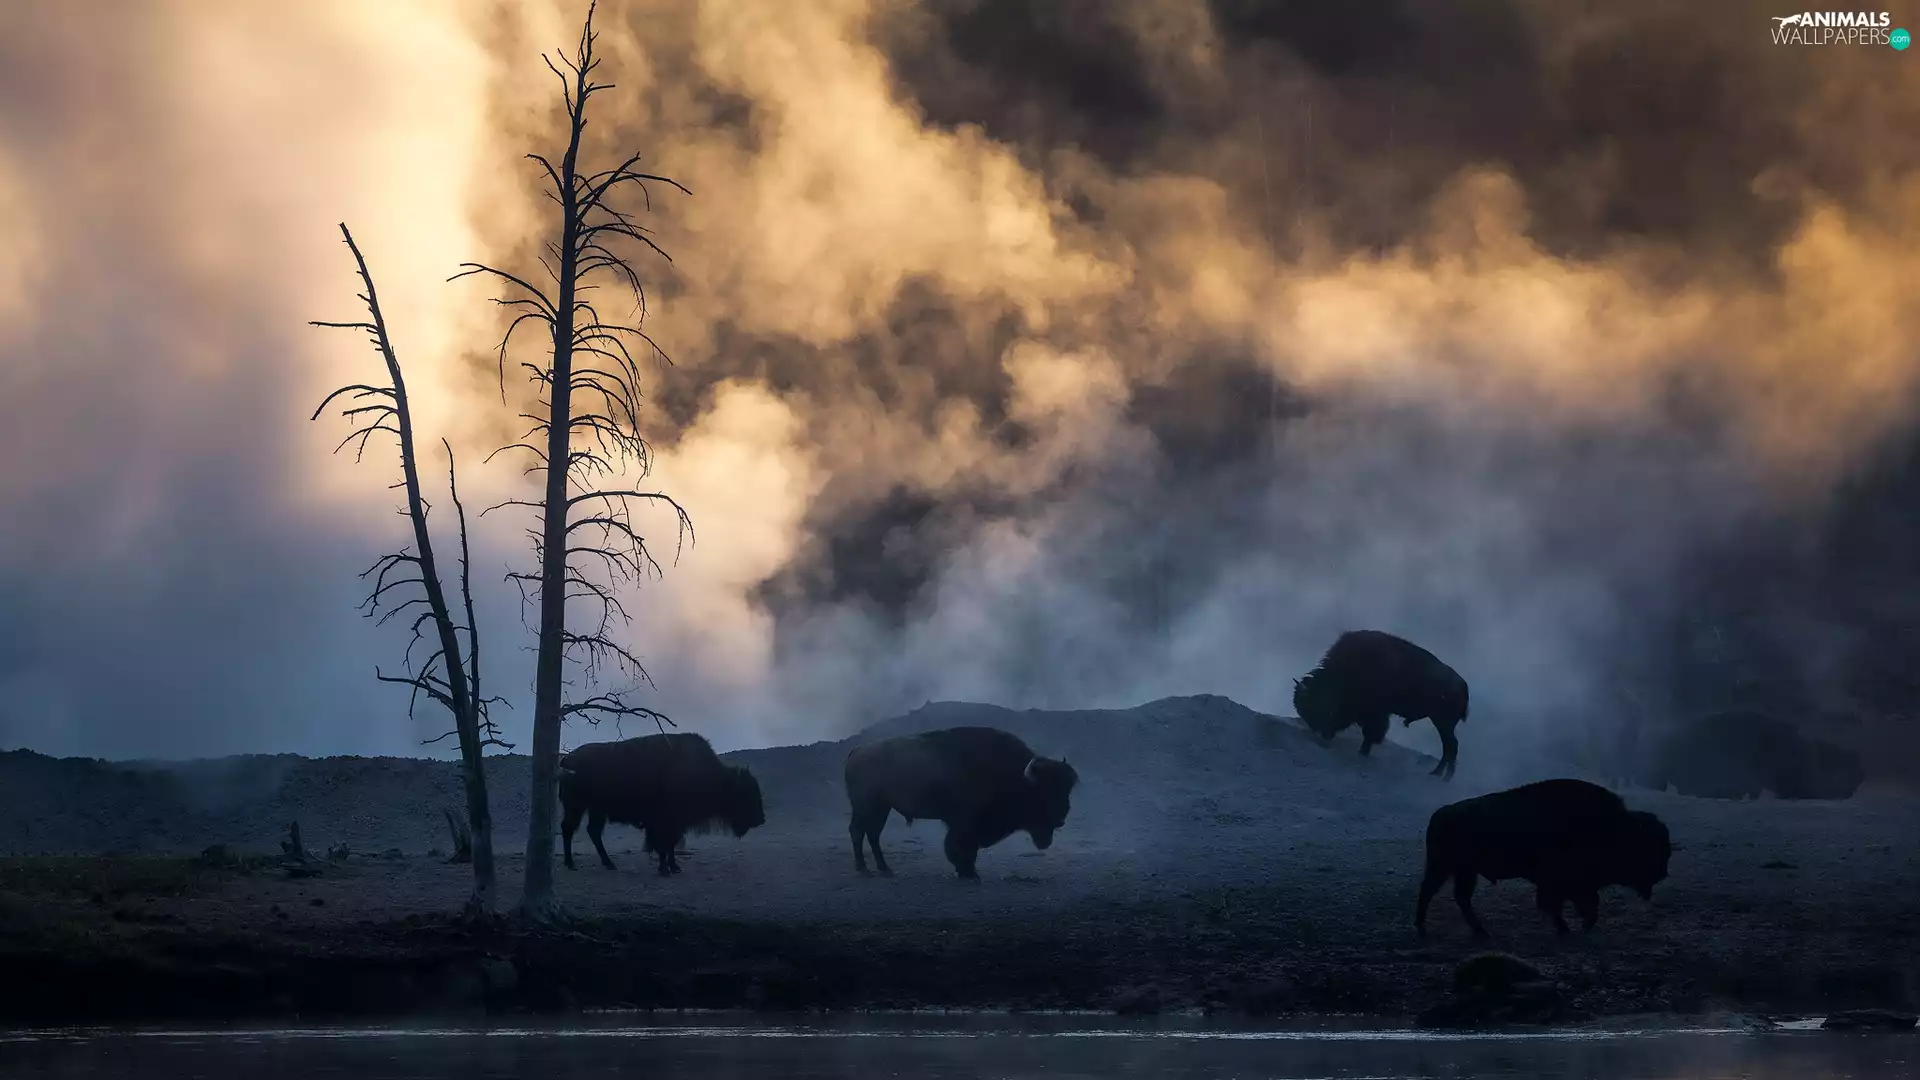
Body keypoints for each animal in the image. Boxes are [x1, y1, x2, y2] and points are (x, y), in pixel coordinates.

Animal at [558, 733, 765, 875]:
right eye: (745, 793)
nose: (761, 819)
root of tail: (567, 759)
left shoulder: (675, 824)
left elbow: (670, 845)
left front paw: (674, 867)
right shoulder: (661, 823)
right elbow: (661, 846)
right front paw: (665, 869)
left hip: (595, 810)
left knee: (591, 831)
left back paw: (608, 864)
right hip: (576, 807)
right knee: (569, 829)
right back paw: (571, 864)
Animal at [844, 725, 1078, 880]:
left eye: (1066, 789)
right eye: (1043, 792)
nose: (1061, 818)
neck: (1017, 776)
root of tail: (857, 751)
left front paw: (967, 871)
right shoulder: (966, 824)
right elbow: (960, 846)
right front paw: (969, 874)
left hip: (881, 808)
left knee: (872, 834)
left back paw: (885, 870)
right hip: (866, 808)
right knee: (858, 832)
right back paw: (864, 869)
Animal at [1293, 629, 1470, 778]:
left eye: (1315, 706)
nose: (1321, 734)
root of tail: (1463, 684)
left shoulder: (1376, 714)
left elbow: (1371, 733)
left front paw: (1363, 751)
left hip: (1442, 723)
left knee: (1451, 746)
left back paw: (1441, 775)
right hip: (1443, 724)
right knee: (1450, 747)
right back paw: (1440, 774)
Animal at [1416, 778, 1674, 939]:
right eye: (1647, 849)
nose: (1662, 874)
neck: (1616, 828)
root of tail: (1441, 813)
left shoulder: (1574, 885)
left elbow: (1585, 902)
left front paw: (1578, 925)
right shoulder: (1561, 883)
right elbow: (1564, 904)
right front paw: (1570, 927)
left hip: (1461, 871)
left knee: (1456, 896)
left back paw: (1478, 931)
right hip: (1448, 867)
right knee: (1432, 892)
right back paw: (1425, 929)